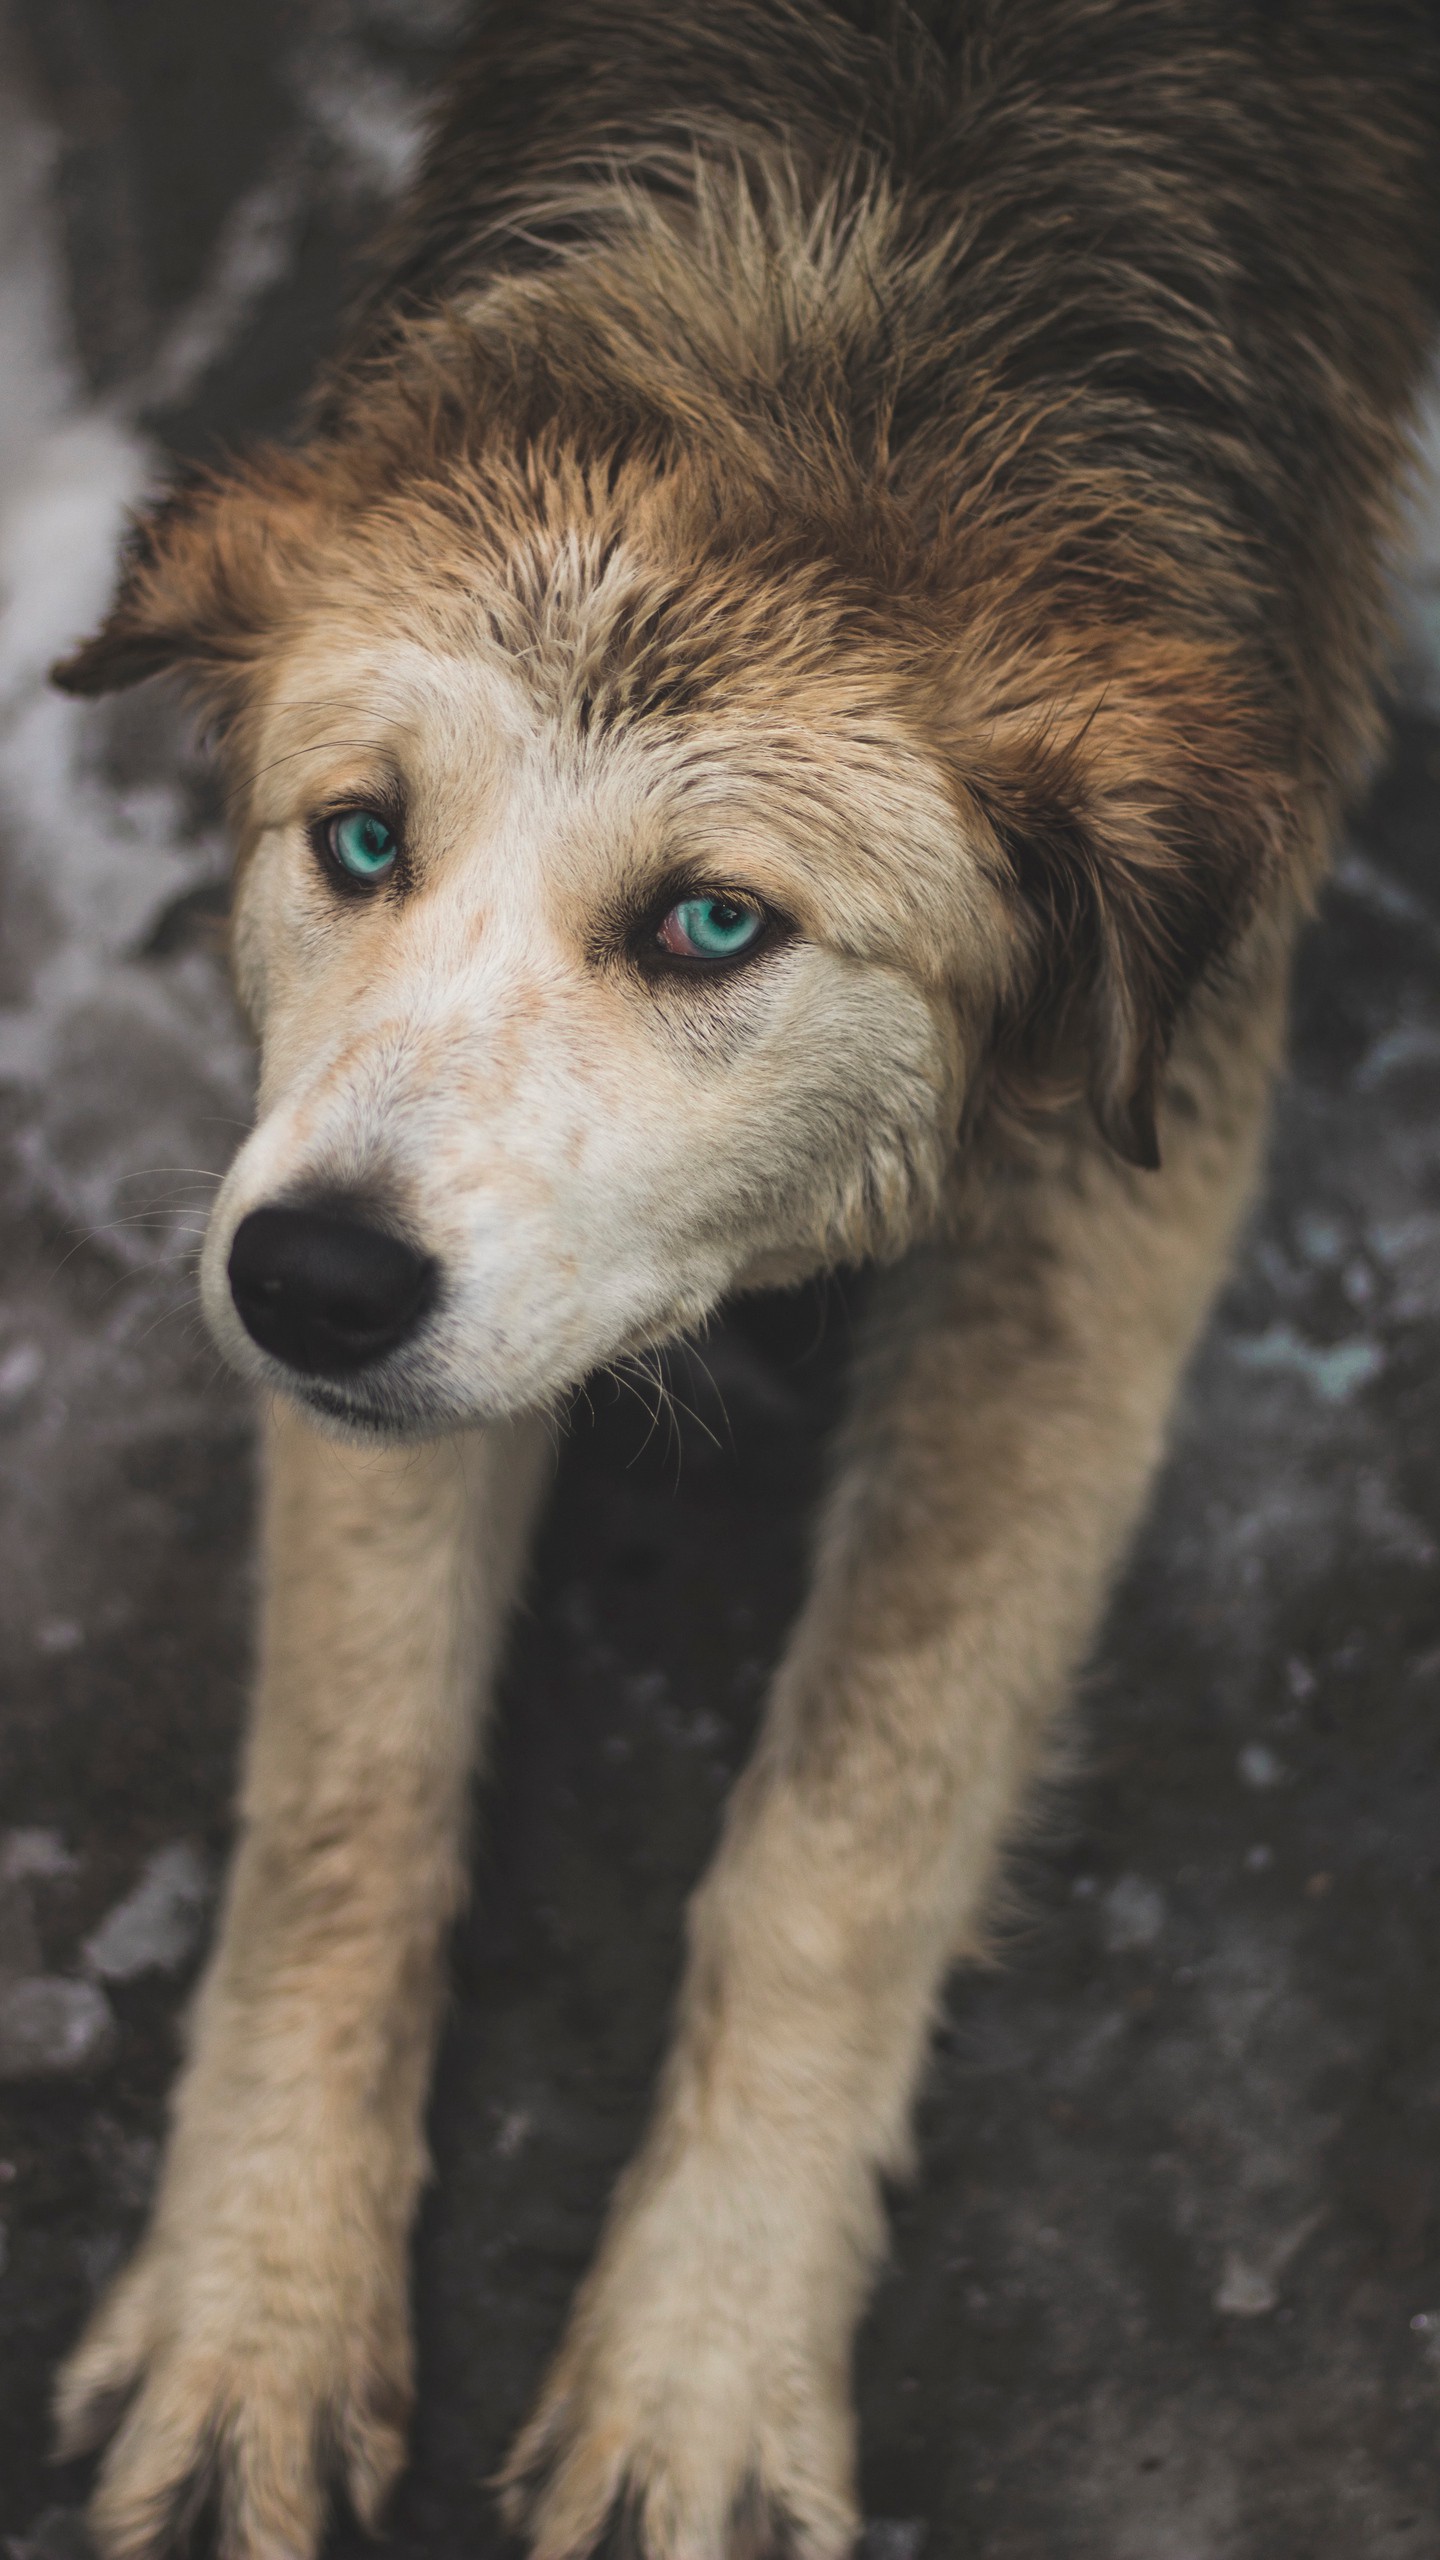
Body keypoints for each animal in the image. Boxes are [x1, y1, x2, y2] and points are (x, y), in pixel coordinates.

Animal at [41, 0, 1434, 2549]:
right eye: (357, 839)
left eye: (711, 921)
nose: (304, 1287)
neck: (850, 295)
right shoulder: (331, 1187)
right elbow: (348, 1793)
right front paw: (255, 2306)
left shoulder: (1119, 1181)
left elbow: (838, 1840)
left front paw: (704, 2361)